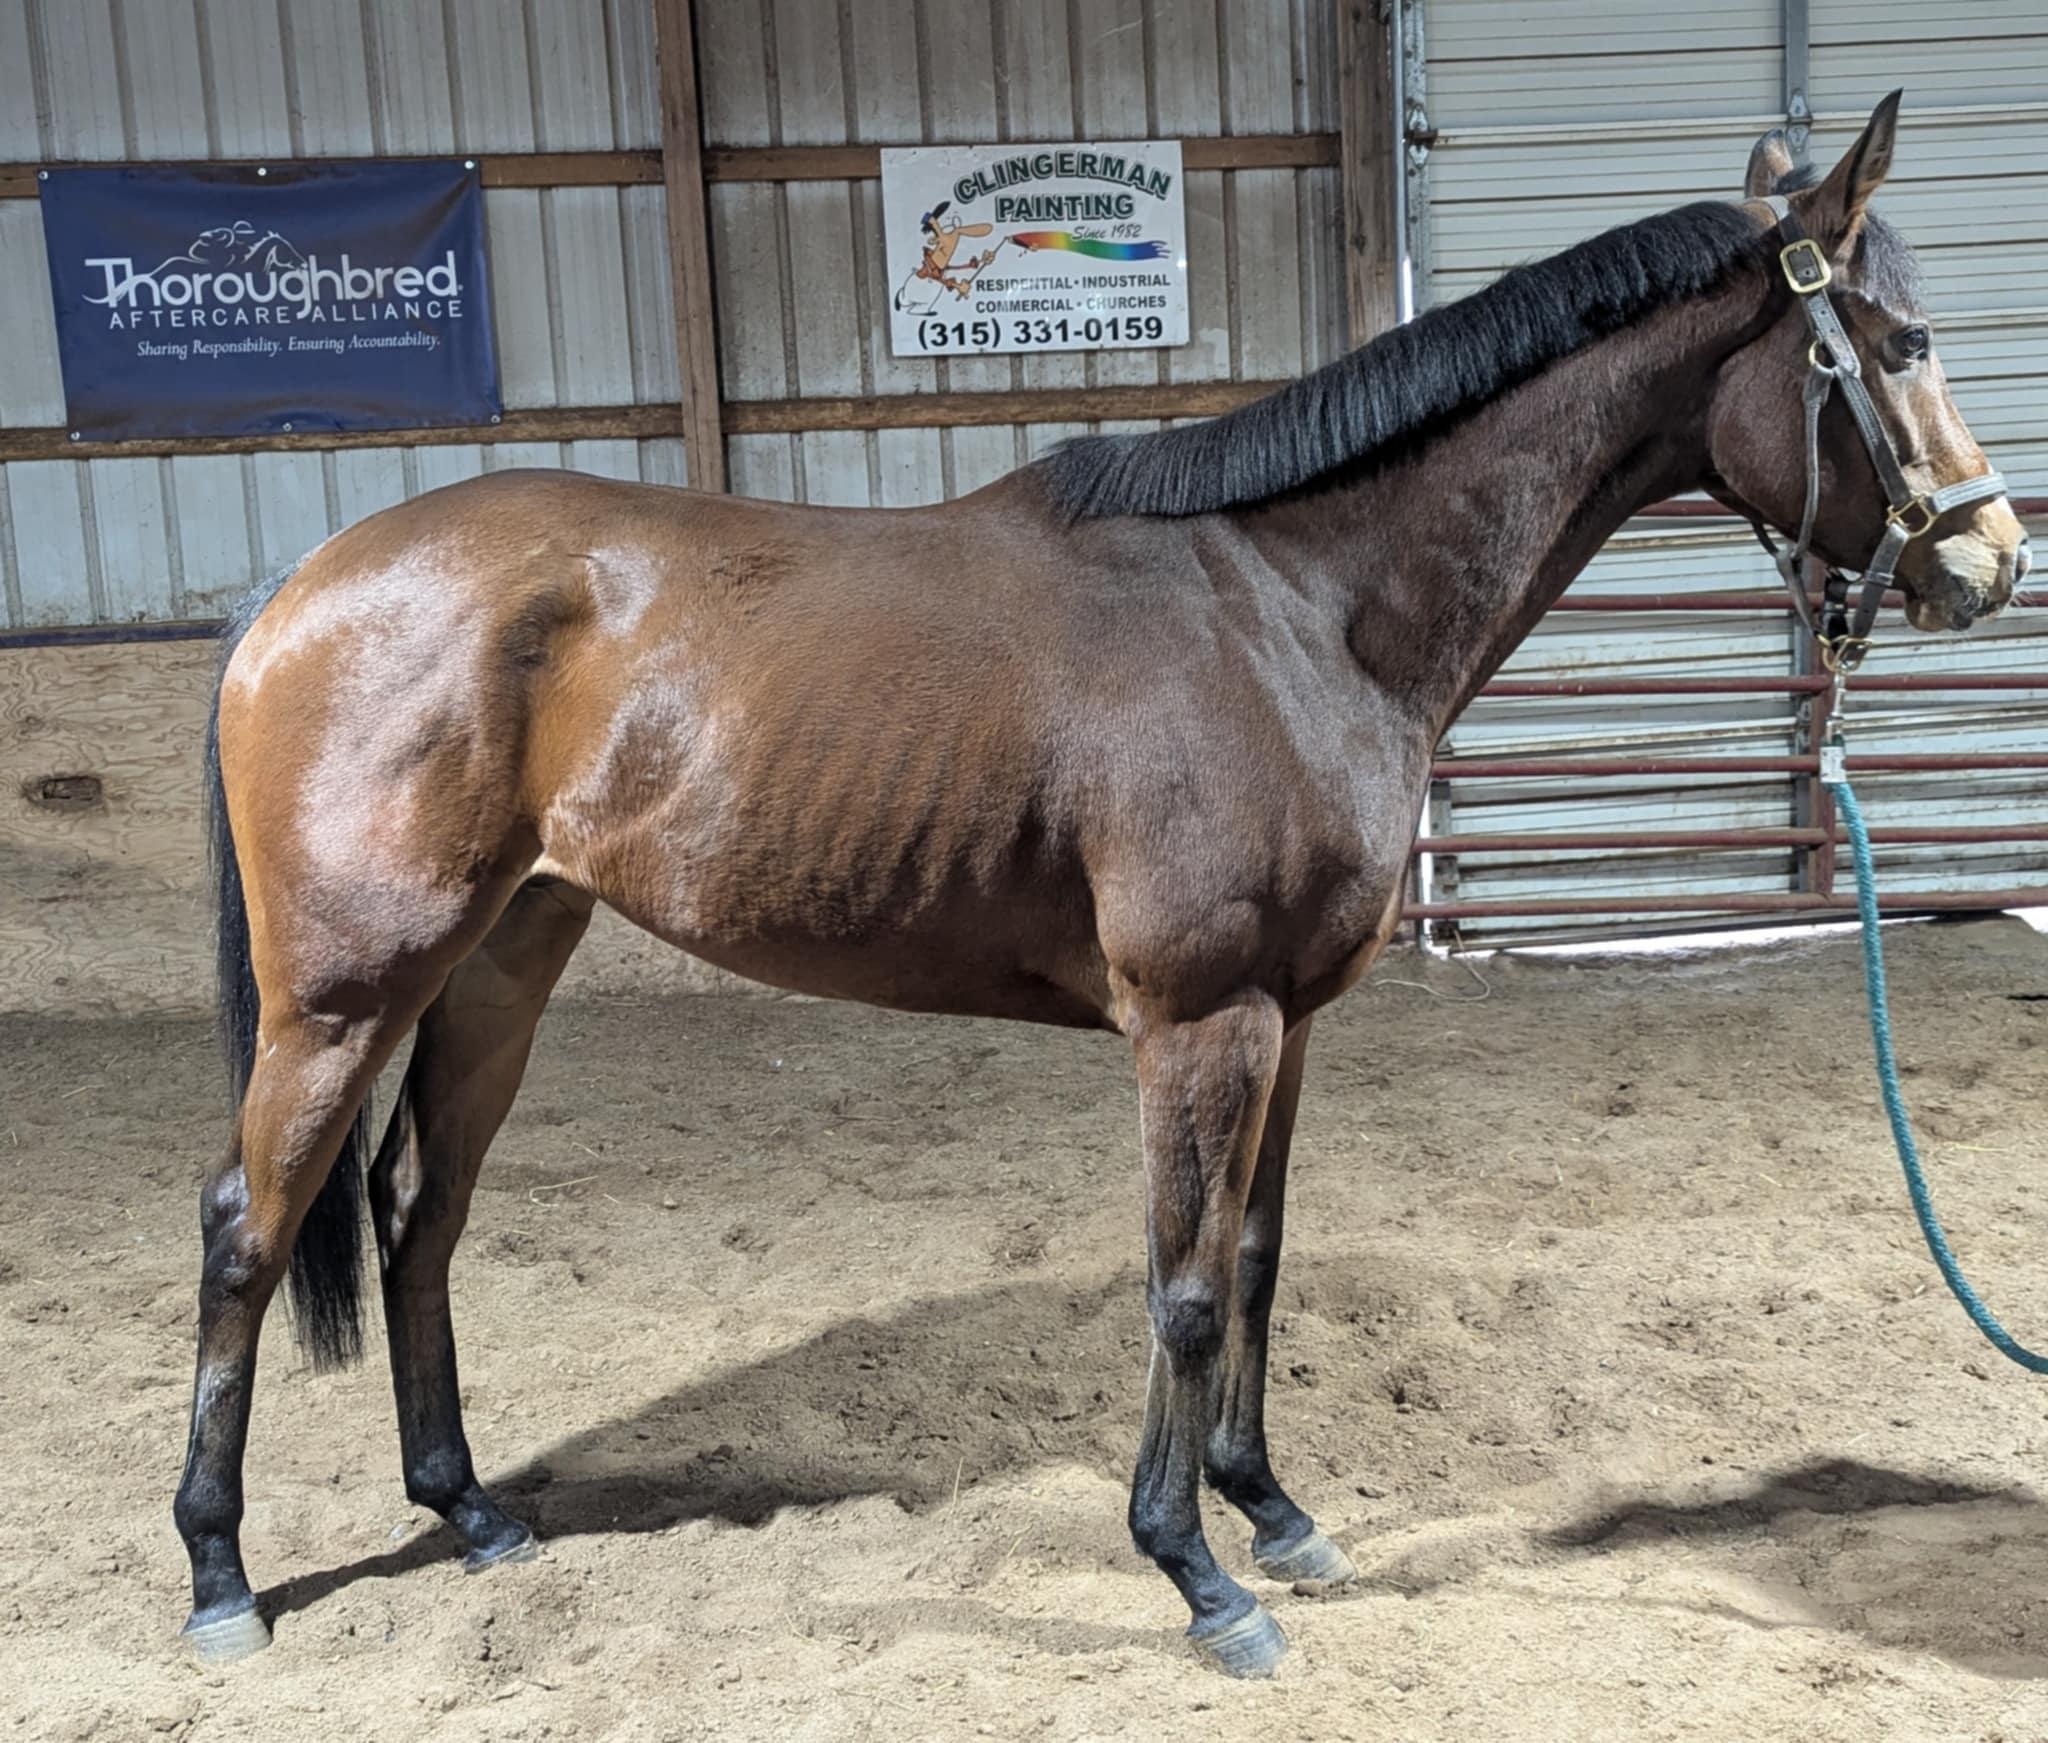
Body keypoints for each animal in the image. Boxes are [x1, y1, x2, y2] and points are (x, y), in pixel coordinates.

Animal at [174, 95, 2027, 1676]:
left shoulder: (1290, 1019)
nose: (1987, 560)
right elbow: (1185, 1284)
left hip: (504, 956)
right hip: (345, 992)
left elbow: (1258, 1257)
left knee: (419, 1212)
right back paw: (218, 1577)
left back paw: (470, 1511)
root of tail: (303, 589)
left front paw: (1271, 1509)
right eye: (1890, 342)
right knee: (248, 1227)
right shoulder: (1198, 1021)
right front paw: (1195, 1569)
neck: (1294, 602)